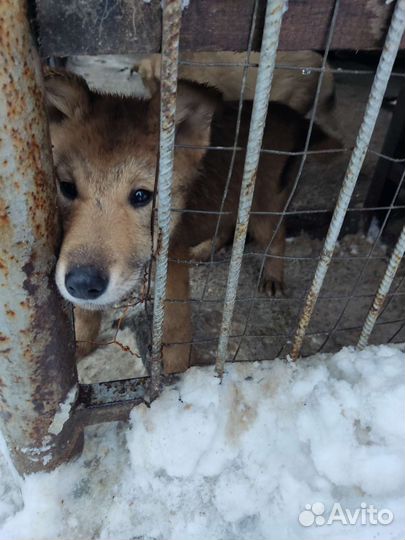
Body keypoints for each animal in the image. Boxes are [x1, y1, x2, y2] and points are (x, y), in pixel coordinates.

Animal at [44, 69, 336, 374]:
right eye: (67, 188)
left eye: (141, 195)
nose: (82, 283)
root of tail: (283, 111)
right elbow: (84, 315)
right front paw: (79, 347)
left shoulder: (171, 272)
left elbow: (176, 335)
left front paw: (174, 379)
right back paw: (205, 250)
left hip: (262, 210)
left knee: (276, 238)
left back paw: (273, 277)